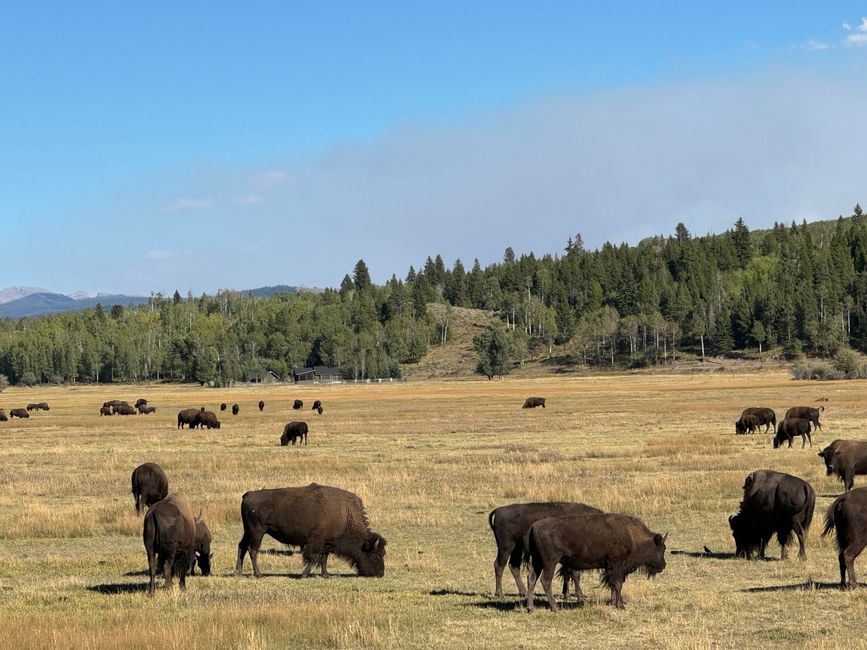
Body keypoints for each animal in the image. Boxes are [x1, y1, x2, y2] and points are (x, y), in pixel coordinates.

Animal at [237, 480, 386, 576]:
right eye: (375, 555)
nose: (380, 573)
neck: (345, 514)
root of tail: (249, 494)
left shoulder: (326, 542)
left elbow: (323, 558)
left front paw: (326, 575)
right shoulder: (316, 541)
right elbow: (313, 558)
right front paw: (304, 575)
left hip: (248, 531)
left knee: (242, 546)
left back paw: (238, 572)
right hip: (257, 532)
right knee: (253, 550)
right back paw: (258, 573)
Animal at [524, 512, 668, 608]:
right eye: (661, 548)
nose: (663, 565)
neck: (631, 535)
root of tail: (533, 527)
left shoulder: (610, 567)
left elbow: (612, 585)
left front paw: (613, 602)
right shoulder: (616, 564)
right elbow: (617, 584)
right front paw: (620, 606)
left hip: (537, 562)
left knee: (531, 580)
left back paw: (530, 608)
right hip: (550, 562)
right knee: (545, 581)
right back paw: (555, 608)